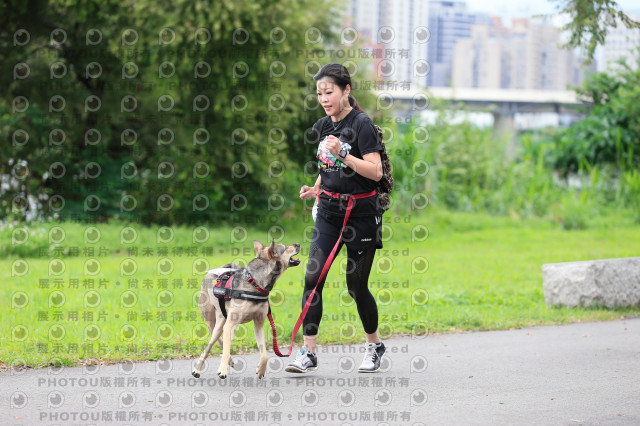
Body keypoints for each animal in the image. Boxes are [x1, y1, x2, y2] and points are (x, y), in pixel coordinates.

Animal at [191, 240, 302, 380]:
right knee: (212, 344)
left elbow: (264, 354)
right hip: (213, 322)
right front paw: (222, 370)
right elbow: (226, 350)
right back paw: (198, 369)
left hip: (222, 320)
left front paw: (261, 370)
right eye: (285, 247)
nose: (298, 244)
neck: (255, 283)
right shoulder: (231, 325)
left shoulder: (258, 325)